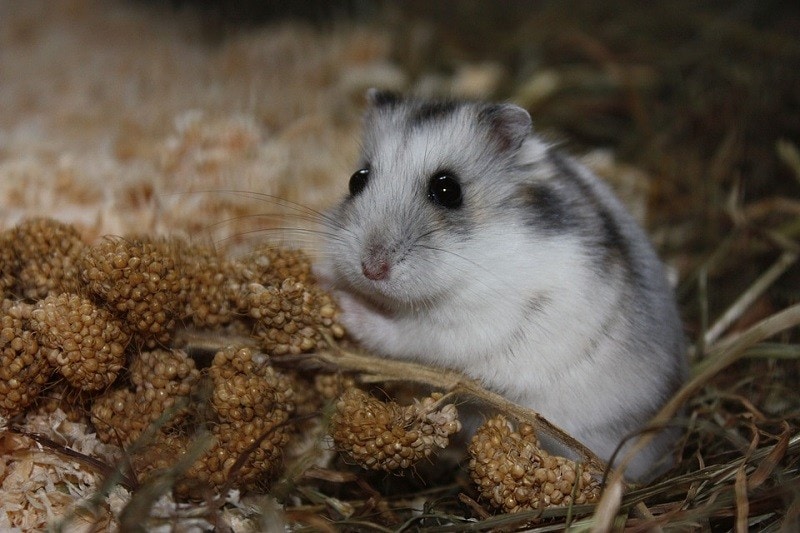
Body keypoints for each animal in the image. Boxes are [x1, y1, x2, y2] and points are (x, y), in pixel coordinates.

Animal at [317, 90, 688, 481]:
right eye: (356, 180)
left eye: (447, 189)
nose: (371, 269)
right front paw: (322, 274)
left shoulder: (468, 326)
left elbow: (400, 334)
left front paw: (344, 303)